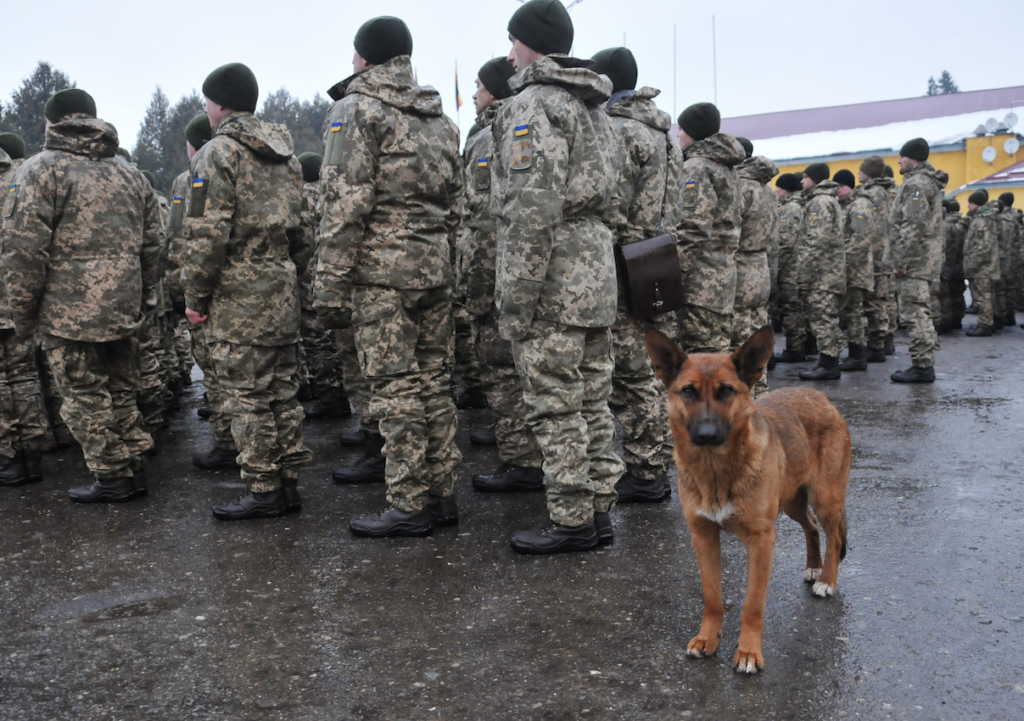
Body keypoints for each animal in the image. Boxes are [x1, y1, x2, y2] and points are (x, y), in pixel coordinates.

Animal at [643, 327, 851, 675]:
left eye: (726, 391)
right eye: (688, 392)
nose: (707, 435)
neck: (716, 469)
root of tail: (820, 397)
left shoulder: (761, 541)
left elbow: (752, 606)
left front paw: (749, 653)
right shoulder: (703, 536)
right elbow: (712, 598)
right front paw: (707, 639)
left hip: (826, 499)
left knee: (833, 536)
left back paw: (826, 579)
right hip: (793, 502)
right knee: (810, 527)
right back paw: (813, 566)